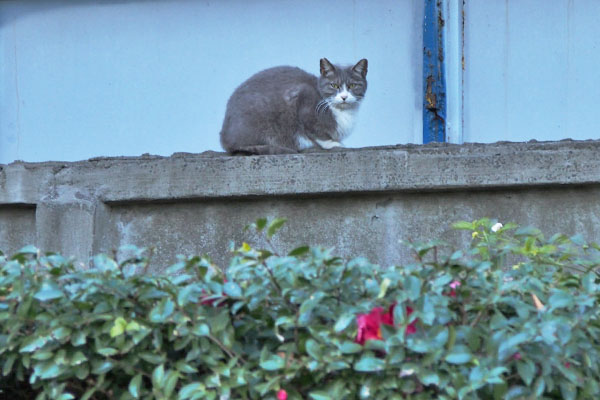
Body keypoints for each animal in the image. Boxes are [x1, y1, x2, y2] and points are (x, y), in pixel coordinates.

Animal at [220, 57, 368, 155]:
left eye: (352, 85)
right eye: (334, 85)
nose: (344, 97)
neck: (343, 113)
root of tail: (224, 136)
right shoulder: (303, 98)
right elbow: (317, 133)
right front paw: (332, 144)